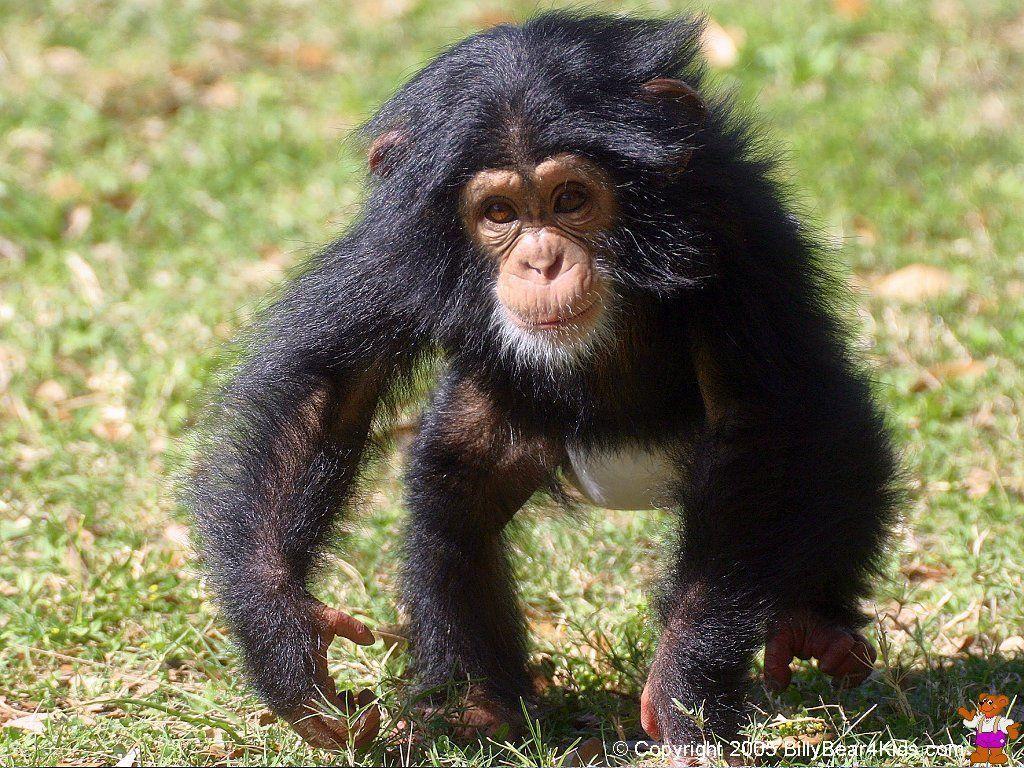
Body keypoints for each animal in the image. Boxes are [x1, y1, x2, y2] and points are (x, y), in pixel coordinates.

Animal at [187, 12, 900, 753]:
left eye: (570, 199)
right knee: (457, 490)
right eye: (499, 213)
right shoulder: (394, 246)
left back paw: (814, 624)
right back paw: (478, 704)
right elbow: (328, 396)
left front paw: (685, 684)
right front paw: (289, 642)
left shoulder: (736, 237)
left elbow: (753, 430)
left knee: (838, 446)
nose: (542, 260)